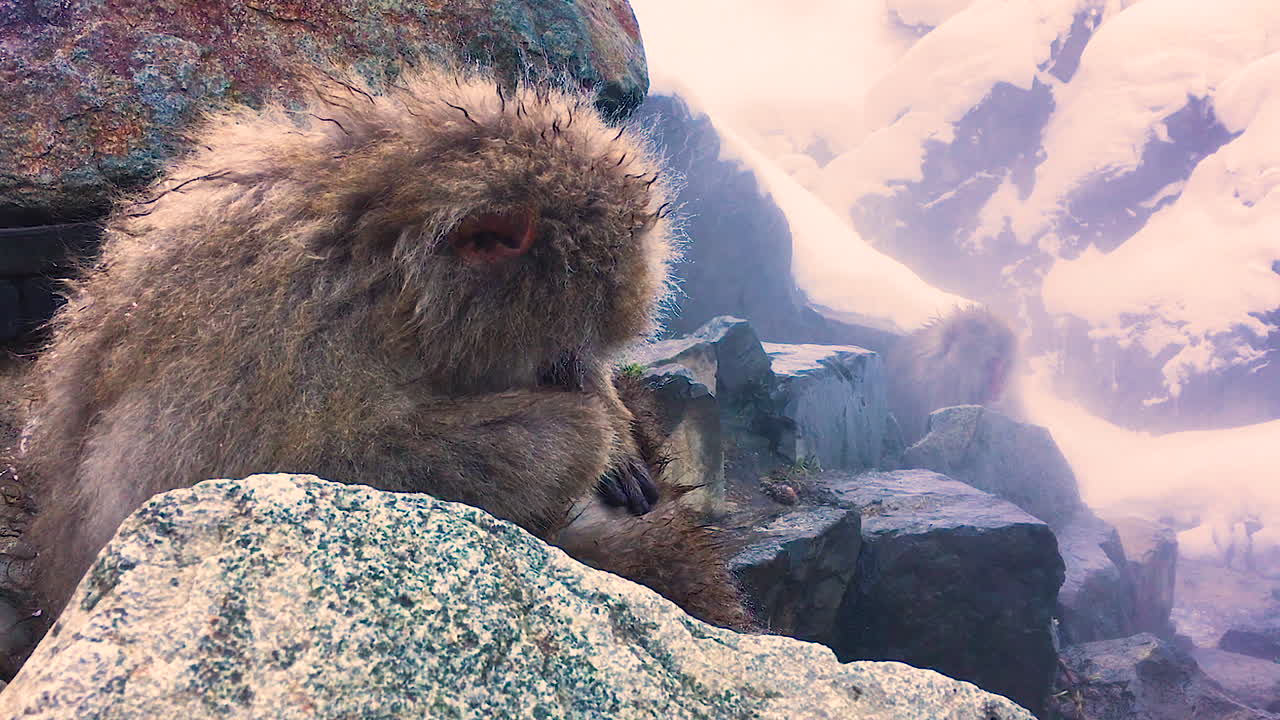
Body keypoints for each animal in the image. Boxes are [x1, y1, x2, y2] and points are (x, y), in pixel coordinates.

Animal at [17, 63, 682, 631]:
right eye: (558, 350)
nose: (573, 372)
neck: (382, 275)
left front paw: (616, 436)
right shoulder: (277, 344)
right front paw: (587, 437)